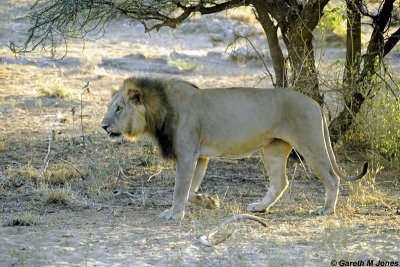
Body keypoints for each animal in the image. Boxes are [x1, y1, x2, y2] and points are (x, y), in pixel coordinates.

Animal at [101, 76, 368, 221]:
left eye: (119, 108)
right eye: (110, 106)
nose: (103, 126)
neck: (159, 110)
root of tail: (315, 103)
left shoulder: (187, 154)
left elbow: (179, 189)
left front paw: (174, 213)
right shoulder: (200, 157)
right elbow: (189, 190)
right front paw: (208, 201)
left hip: (310, 143)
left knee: (332, 177)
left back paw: (326, 209)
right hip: (274, 149)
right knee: (280, 182)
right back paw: (260, 207)